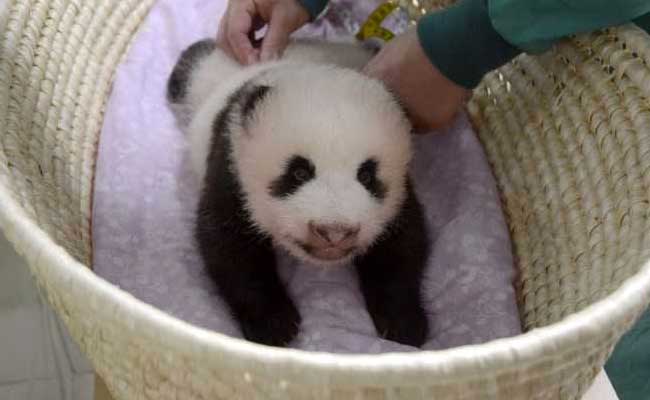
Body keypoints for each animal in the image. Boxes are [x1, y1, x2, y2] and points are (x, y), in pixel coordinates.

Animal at [167, 38, 431, 348]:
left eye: (367, 175)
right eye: (299, 172)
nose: (334, 232)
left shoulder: (399, 196)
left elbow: (403, 243)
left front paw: (403, 323)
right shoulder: (232, 164)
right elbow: (227, 244)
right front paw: (274, 325)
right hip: (202, 79)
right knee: (192, 65)